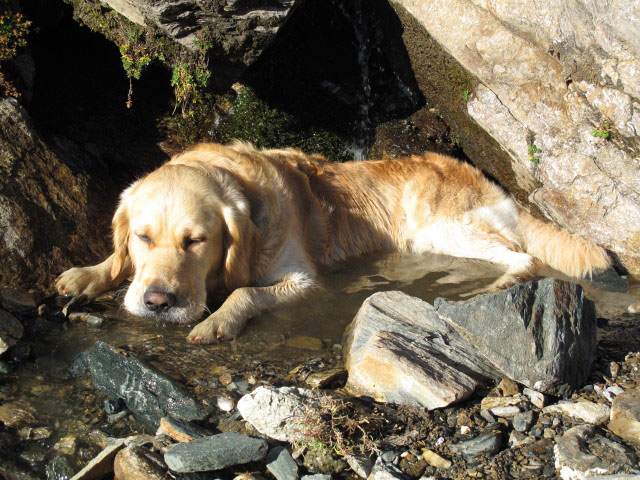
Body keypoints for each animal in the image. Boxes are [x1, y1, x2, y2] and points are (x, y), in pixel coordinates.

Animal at [57, 141, 612, 344]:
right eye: (143, 236)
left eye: (196, 241)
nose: (157, 302)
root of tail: (493, 183)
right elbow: (114, 263)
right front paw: (88, 273)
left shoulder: (304, 280)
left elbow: (247, 291)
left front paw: (216, 320)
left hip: (443, 228)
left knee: (524, 257)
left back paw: (492, 287)